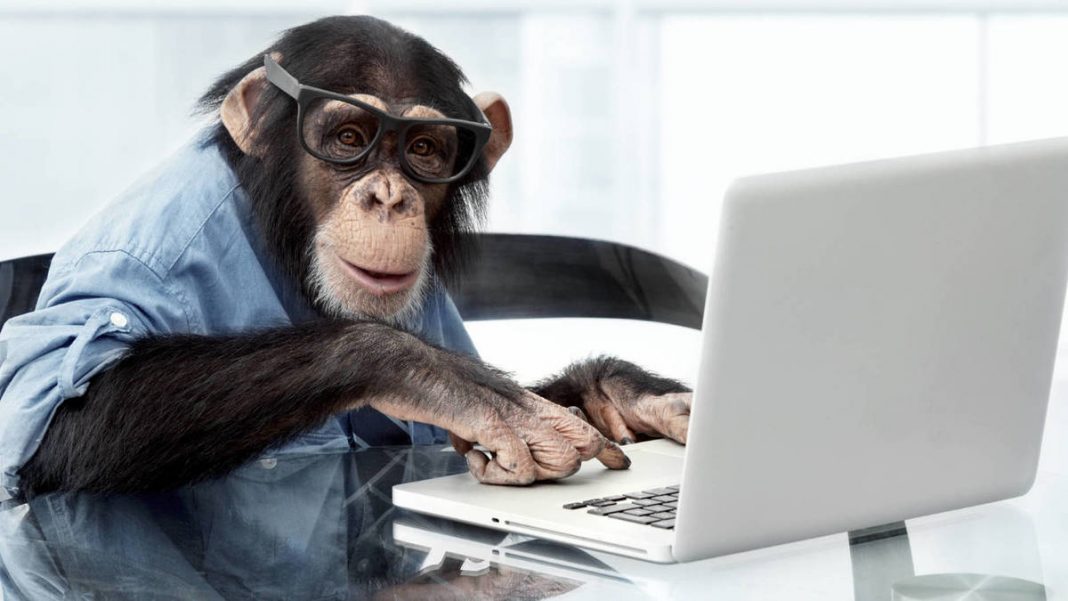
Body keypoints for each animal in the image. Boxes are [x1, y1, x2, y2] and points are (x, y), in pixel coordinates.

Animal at [0, 16, 691, 499]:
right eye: (349, 138)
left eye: (424, 150)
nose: (387, 196)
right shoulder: (150, 247)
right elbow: (60, 417)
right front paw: (447, 381)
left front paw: (622, 393)